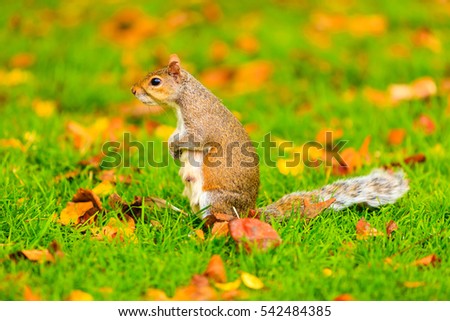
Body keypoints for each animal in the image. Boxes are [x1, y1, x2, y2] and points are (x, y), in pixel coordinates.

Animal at [130, 54, 408, 220]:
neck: (184, 100)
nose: (133, 90)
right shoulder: (180, 125)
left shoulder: (200, 124)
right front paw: (172, 149)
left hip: (216, 199)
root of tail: (248, 213)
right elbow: (175, 135)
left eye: (156, 81)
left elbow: (195, 140)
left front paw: (176, 148)